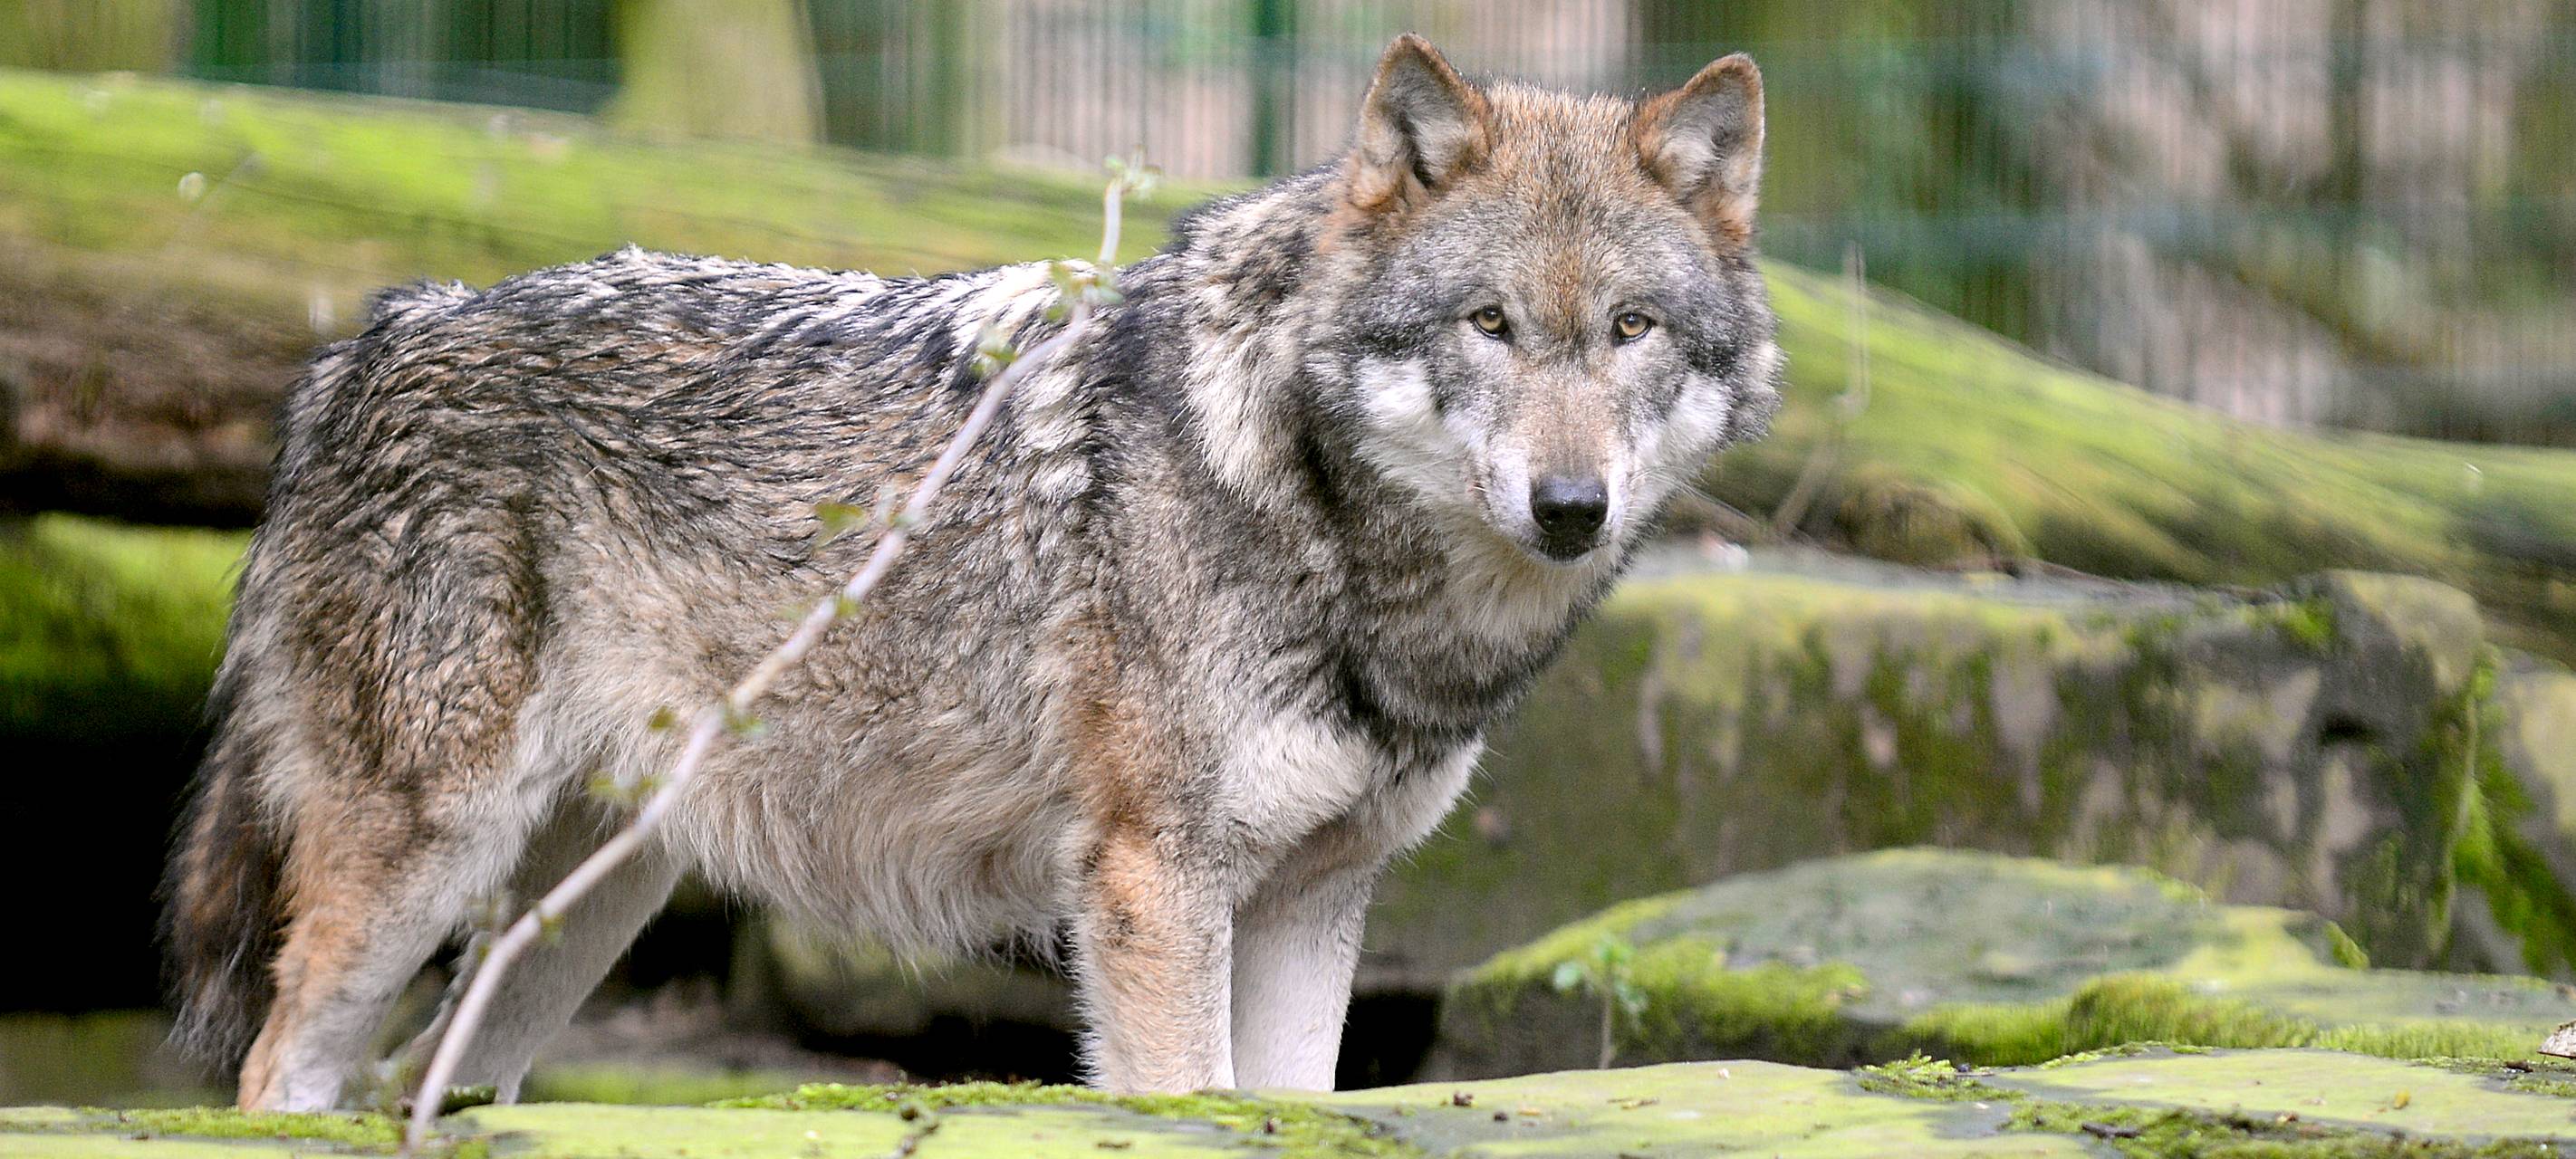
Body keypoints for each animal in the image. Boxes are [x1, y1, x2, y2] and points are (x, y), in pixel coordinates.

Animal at [163, 34, 1778, 1109]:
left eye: (1631, 329)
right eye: (1488, 325)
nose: (1570, 507)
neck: (1314, 516)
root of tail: (376, 333)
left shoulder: (1317, 902)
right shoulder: (1153, 883)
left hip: (574, 916)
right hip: (425, 865)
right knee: (276, 1075)